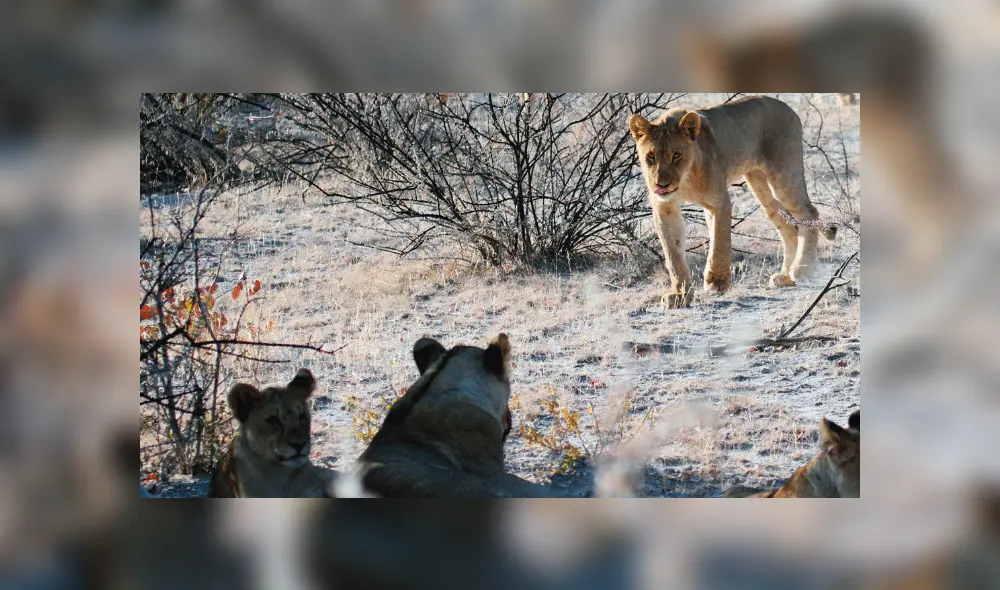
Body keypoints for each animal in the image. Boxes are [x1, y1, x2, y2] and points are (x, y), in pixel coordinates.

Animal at [628, 95, 836, 308]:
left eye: (676, 155)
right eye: (651, 156)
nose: (661, 184)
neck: (684, 180)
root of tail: (788, 108)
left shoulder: (720, 201)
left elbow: (720, 242)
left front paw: (717, 282)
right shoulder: (665, 207)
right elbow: (673, 255)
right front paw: (680, 295)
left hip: (783, 178)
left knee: (809, 213)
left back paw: (801, 268)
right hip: (761, 187)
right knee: (789, 228)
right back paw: (785, 276)